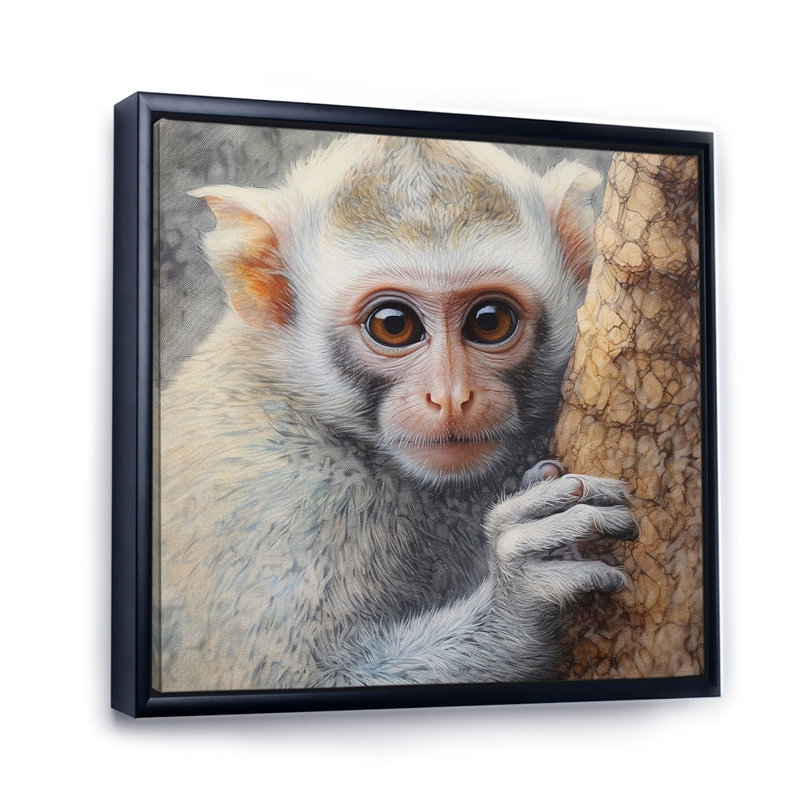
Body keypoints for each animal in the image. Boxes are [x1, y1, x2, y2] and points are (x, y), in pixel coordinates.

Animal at [155, 133, 637, 692]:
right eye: (393, 325)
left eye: (489, 321)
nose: (450, 396)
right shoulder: (275, 495)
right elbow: (296, 679)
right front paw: (521, 597)